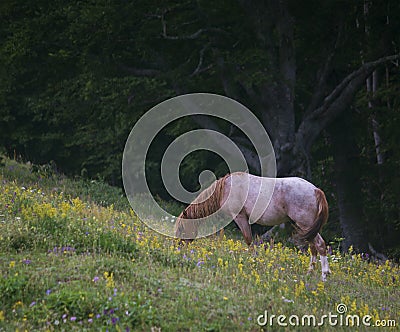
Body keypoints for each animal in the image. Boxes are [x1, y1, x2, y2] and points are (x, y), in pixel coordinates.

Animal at [175, 172, 332, 282]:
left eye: (181, 229)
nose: (178, 248)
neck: (227, 188)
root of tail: (315, 190)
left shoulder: (240, 218)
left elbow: (248, 240)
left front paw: (253, 262)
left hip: (305, 224)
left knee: (320, 245)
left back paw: (324, 276)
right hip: (305, 228)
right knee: (313, 247)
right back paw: (309, 273)